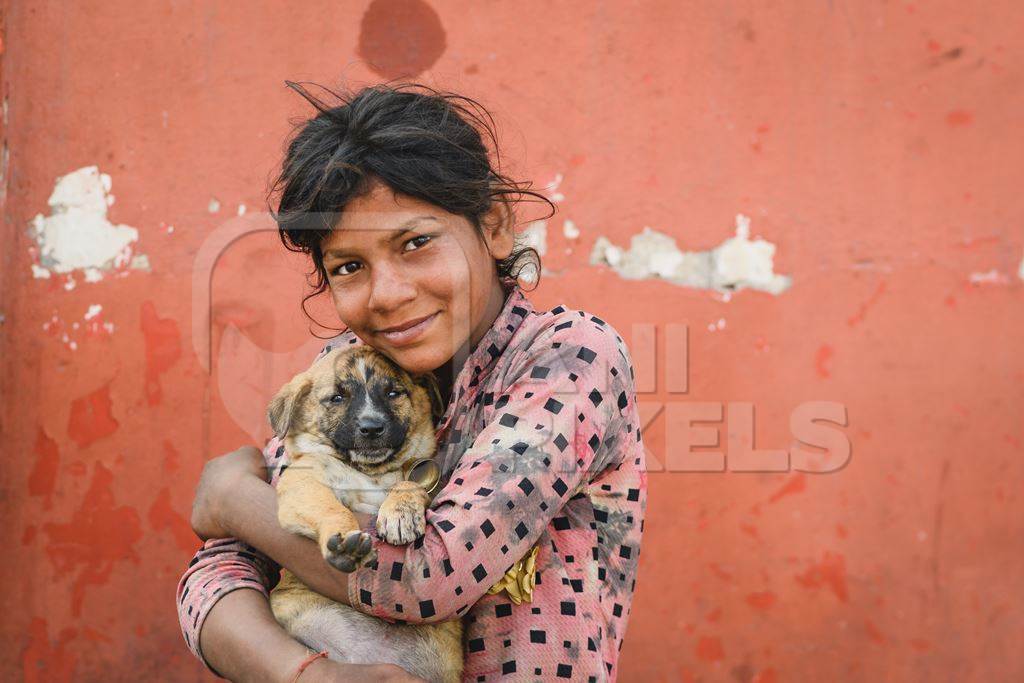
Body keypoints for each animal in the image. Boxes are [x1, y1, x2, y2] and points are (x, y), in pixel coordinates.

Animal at [266, 348, 462, 683]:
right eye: (336, 398)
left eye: (393, 393)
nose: (371, 428)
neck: (371, 473)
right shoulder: (303, 482)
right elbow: (330, 507)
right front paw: (346, 539)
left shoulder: (423, 479)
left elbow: (409, 483)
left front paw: (399, 513)